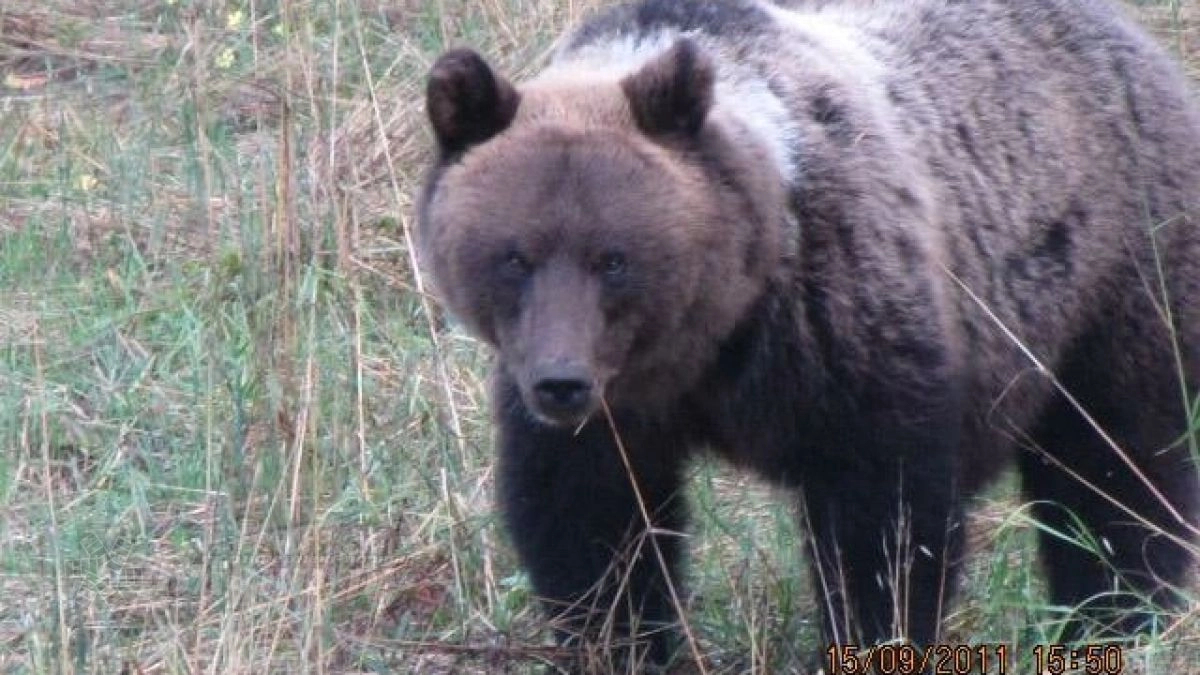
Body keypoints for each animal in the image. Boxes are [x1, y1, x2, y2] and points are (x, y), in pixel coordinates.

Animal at [416, 0, 1200, 666]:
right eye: (513, 257)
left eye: (613, 258)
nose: (562, 382)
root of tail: (1139, 42)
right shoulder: (613, 410)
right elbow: (591, 528)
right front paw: (623, 643)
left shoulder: (841, 327)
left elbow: (882, 526)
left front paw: (873, 636)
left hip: (1114, 276)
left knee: (1115, 469)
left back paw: (1113, 616)